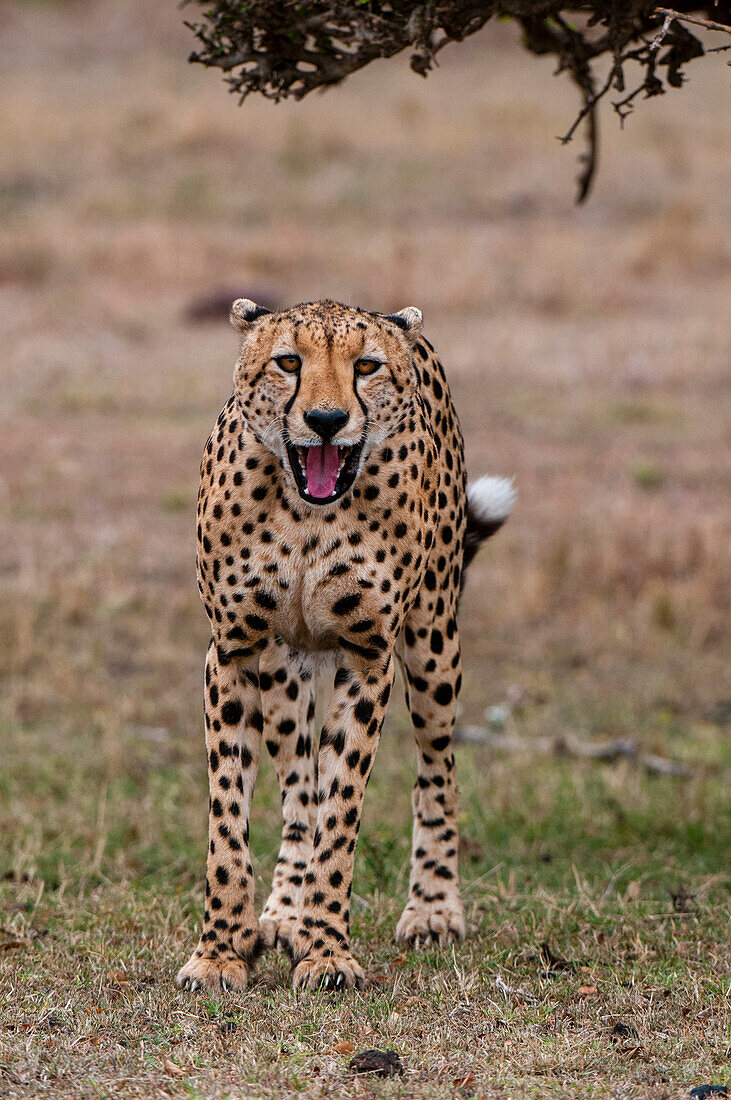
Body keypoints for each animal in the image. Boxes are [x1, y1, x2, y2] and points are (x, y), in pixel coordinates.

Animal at [176, 301, 512, 998]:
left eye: (366, 366)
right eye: (288, 361)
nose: (326, 420)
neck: (309, 511)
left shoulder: (369, 657)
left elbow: (343, 813)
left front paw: (327, 951)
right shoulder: (234, 652)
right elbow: (230, 819)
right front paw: (221, 951)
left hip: (433, 643)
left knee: (437, 770)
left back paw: (432, 908)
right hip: (284, 672)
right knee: (298, 791)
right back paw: (281, 912)